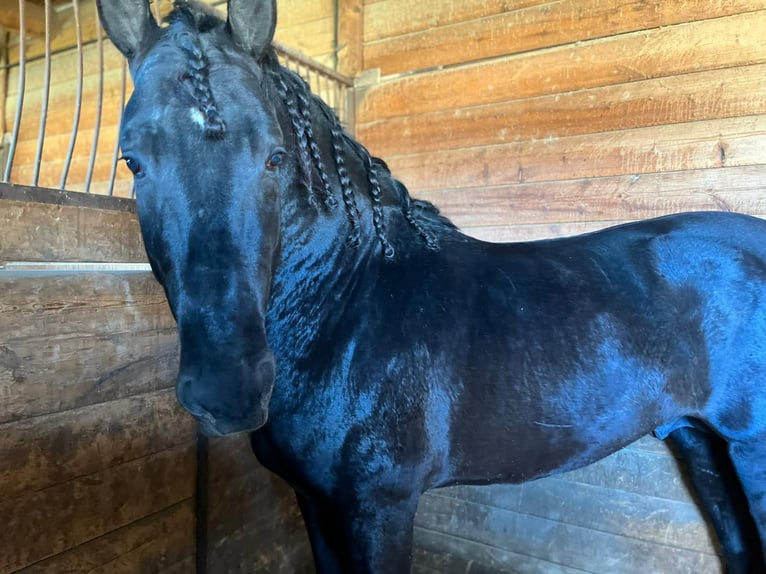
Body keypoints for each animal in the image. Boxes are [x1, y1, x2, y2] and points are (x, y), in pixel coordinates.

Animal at [96, 1, 766, 571]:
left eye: (275, 156)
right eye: (132, 160)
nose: (229, 388)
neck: (346, 308)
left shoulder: (381, 507)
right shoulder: (315, 502)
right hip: (701, 443)